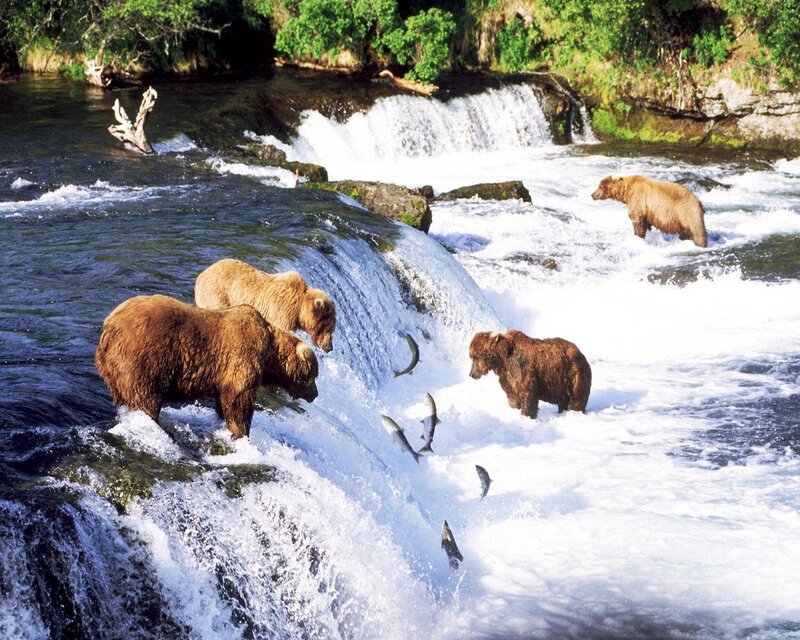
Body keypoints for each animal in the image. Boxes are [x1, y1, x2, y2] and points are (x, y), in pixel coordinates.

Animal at [95, 294, 319, 439]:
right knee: (144, 397)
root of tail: (108, 326)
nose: (315, 394)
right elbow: (239, 399)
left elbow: (224, 399)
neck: (270, 352)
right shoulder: (242, 356)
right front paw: (241, 432)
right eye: (314, 375)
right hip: (143, 359)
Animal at [195, 258, 336, 352]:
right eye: (329, 327)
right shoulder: (281, 310)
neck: (299, 308)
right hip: (218, 295)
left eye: (332, 328)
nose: (329, 347)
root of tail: (201, 275)